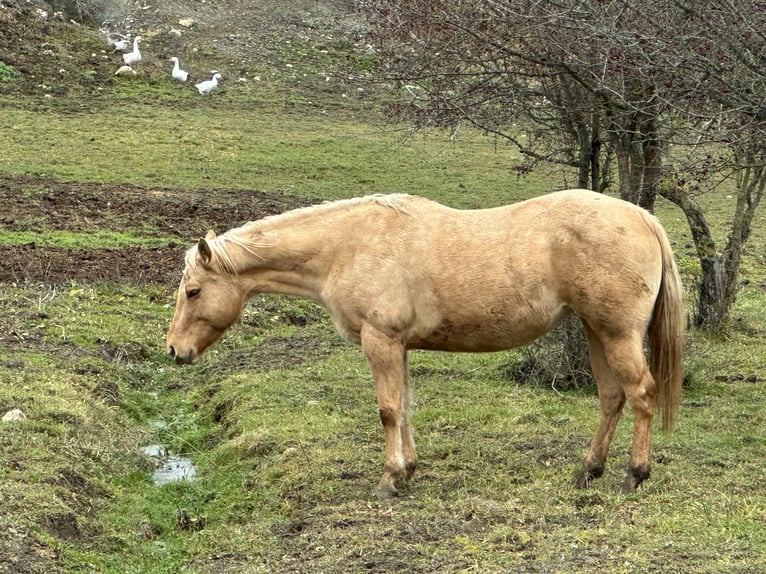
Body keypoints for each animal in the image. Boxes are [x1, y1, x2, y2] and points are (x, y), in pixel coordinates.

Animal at [166, 189, 684, 497]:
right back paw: (588, 470)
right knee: (612, 397)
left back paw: (634, 474)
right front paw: (409, 469)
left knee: (641, 394)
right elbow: (406, 407)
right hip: (598, 332)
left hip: (617, 334)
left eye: (192, 291)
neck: (348, 245)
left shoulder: (380, 342)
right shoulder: (399, 347)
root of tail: (642, 217)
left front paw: (390, 479)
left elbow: (388, 410)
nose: (174, 350)